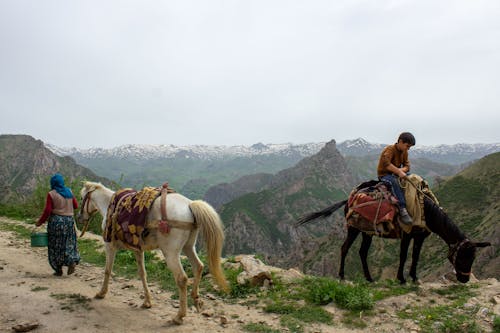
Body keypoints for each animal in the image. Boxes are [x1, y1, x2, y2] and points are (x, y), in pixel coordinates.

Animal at [78, 180, 229, 322]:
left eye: (81, 197)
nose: (80, 217)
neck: (108, 204)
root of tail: (189, 205)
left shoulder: (109, 245)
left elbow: (107, 270)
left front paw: (101, 293)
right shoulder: (137, 249)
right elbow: (142, 274)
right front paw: (147, 301)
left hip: (171, 253)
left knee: (182, 278)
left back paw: (179, 316)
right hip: (188, 247)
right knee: (198, 266)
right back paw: (196, 299)